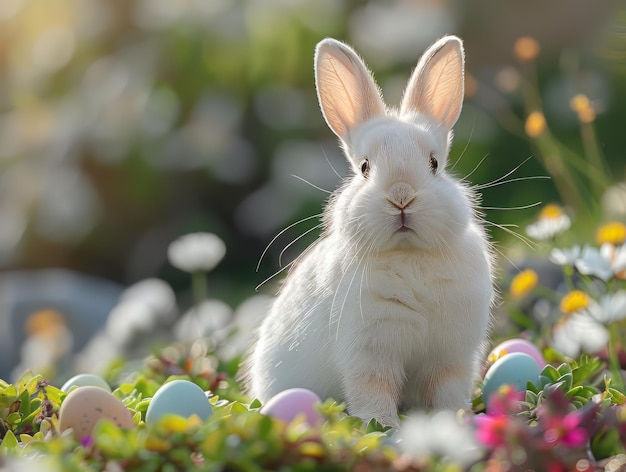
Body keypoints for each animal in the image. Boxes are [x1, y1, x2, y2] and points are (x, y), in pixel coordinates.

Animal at [244, 36, 492, 428]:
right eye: (364, 167)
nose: (401, 196)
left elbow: (447, 391)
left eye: (434, 164)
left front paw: (454, 420)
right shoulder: (369, 350)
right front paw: (382, 427)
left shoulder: (450, 356)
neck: (408, 254)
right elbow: (374, 389)